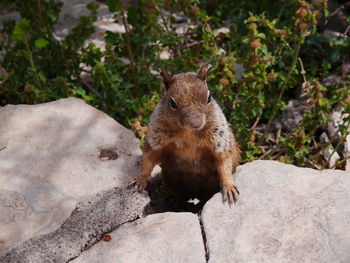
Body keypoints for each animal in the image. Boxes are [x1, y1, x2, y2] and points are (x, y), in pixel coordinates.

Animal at [131, 64, 241, 204]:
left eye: (209, 97)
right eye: (173, 103)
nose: (196, 123)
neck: (188, 133)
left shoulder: (219, 140)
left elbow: (224, 162)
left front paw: (229, 186)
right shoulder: (156, 139)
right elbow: (148, 159)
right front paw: (139, 179)